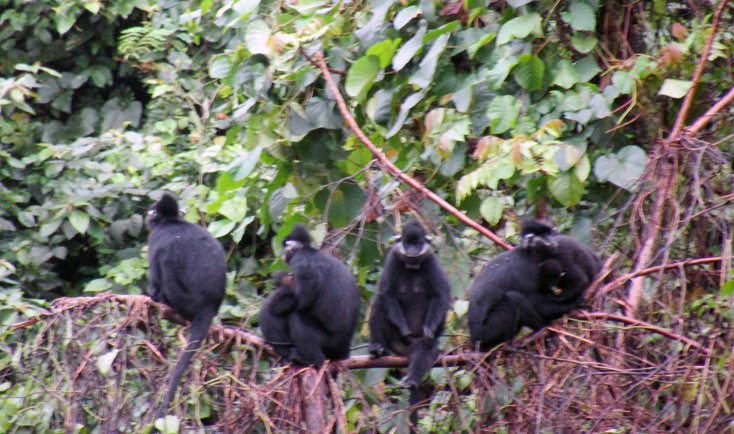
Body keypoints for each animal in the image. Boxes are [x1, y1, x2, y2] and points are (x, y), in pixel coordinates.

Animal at [144, 192, 224, 430]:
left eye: (153, 210)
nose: (148, 214)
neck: (173, 222)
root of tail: (209, 305)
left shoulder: (156, 239)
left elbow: (156, 272)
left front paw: (153, 292)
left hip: (185, 300)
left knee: (165, 262)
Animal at [280, 224, 360, 366]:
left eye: (286, 246)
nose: (282, 253)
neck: (308, 250)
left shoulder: (302, 260)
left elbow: (304, 299)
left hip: (327, 341)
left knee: (297, 317)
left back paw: (311, 360)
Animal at [368, 220, 454, 430]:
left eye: (417, 243)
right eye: (408, 243)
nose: (413, 250)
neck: (412, 265)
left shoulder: (430, 259)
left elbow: (441, 295)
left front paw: (429, 330)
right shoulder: (394, 258)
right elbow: (387, 294)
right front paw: (405, 331)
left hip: (419, 343)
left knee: (426, 349)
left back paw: (412, 381)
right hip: (394, 342)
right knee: (379, 301)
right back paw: (378, 347)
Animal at [468, 217, 600, 350]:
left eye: (551, 234)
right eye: (545, 236)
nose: (554, 241)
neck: (530, 254)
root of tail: (473, 340)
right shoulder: (525, 270)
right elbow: (537, 303)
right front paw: (573, 304)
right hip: (488, 334)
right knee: (512, 299)